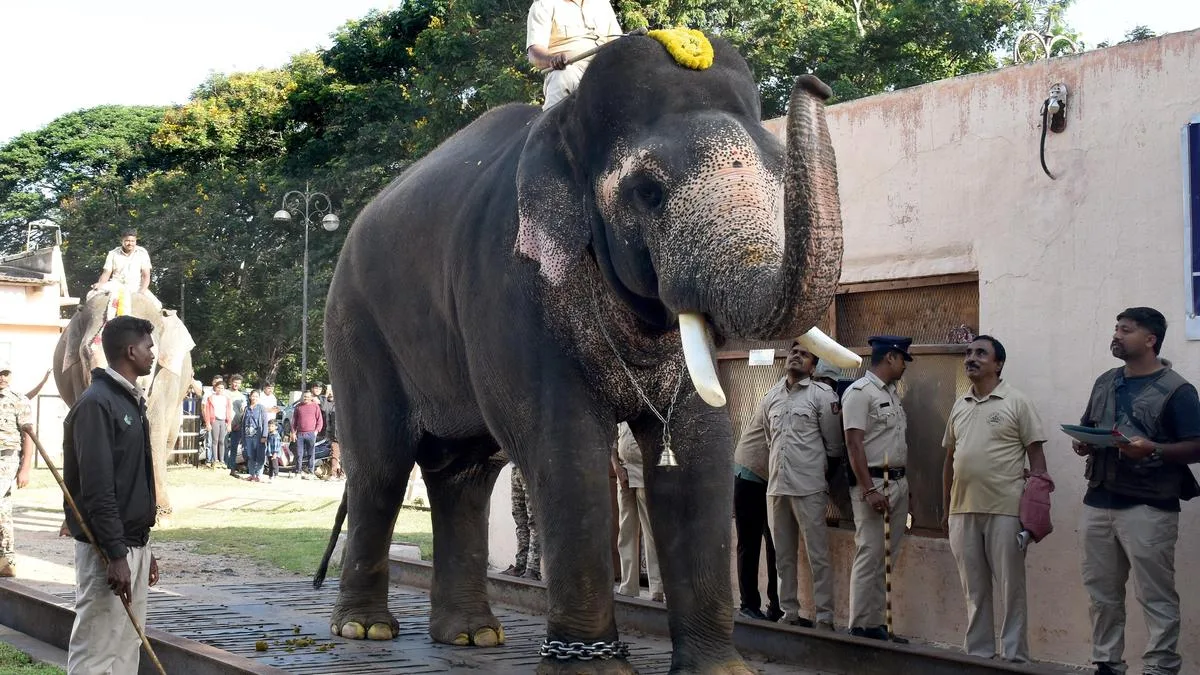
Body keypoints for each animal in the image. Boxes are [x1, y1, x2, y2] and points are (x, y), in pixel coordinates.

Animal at [53, 292, 196, 524]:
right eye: (85, 353)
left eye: (152, 349)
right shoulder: (76, 375)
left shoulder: (165, 376)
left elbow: (154, 429)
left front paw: (162, 517)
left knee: (168, 437)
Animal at [317, 33, 846, 674]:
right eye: (647, 191)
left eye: (777, 173)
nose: (816, 83)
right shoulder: (510, 289)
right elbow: (566, 449)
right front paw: (594, 668)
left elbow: (698, 450)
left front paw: (718, 672)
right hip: (355, 329)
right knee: (382, 467)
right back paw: (365, 630)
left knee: (464, 474)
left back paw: (472, 636)